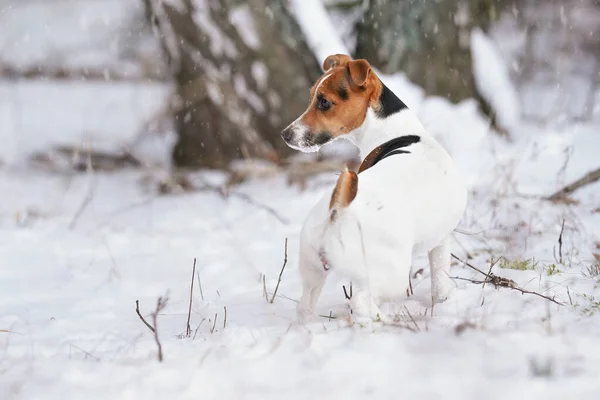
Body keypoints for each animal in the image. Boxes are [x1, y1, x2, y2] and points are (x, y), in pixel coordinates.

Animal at [282, 54, 468, 322]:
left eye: (324, 102)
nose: (285, 134)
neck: (396, 131)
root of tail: (338, 211)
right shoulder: (440, 242)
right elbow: (439, 282)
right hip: (391, 273)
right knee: (361, 301)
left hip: (313, 271)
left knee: (305, 306)